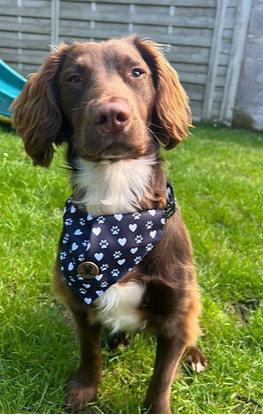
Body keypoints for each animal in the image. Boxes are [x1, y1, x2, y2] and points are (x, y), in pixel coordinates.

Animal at [12, 37, 207, 414]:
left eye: (137, 72)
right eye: (73, 78)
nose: (112, 115)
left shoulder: (176, 312)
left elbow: (162, 376)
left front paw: (158, 406)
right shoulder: (78, 299)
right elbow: (90, 352)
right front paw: (84, 390)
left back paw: (195, 356)